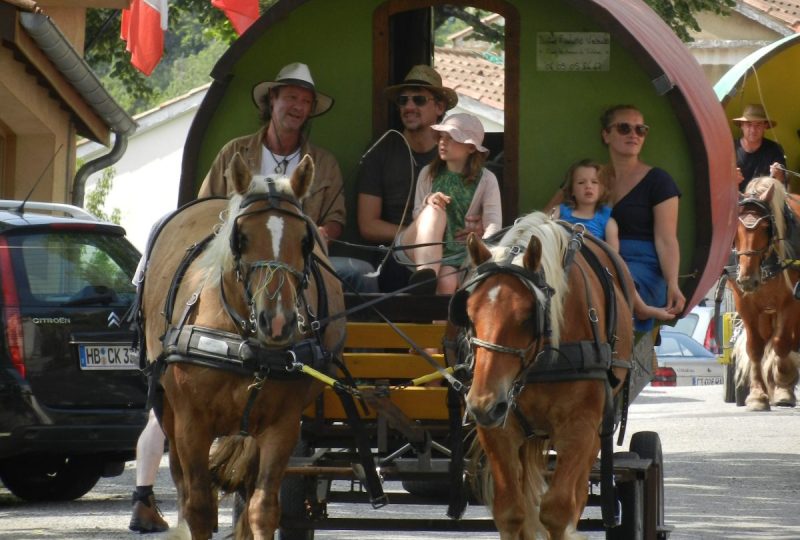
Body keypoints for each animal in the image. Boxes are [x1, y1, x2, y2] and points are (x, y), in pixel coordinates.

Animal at [141, 154, 344, 536]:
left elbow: (262, 508)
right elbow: (199, 507)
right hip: (167, 408)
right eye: (242, 238)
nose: (276, 321)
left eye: (306, 241)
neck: (247, 347)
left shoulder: (282, 426)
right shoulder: (191, 424)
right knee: (183, 487)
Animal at [454, 212, 636, 540]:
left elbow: (557, 510)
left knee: (576, 496)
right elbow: (511, 512)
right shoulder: (497, 428)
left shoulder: (580, 427)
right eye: (469, 313)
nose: (483, 403)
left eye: (528, 316)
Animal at [732, 177, 800, 410]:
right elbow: (754, 347)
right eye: (735, 230)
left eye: (764, 228)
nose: (747, 279)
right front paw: (757, 395)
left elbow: (781, 343)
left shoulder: (790, 302)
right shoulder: (745, 304)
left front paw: (783, 387)